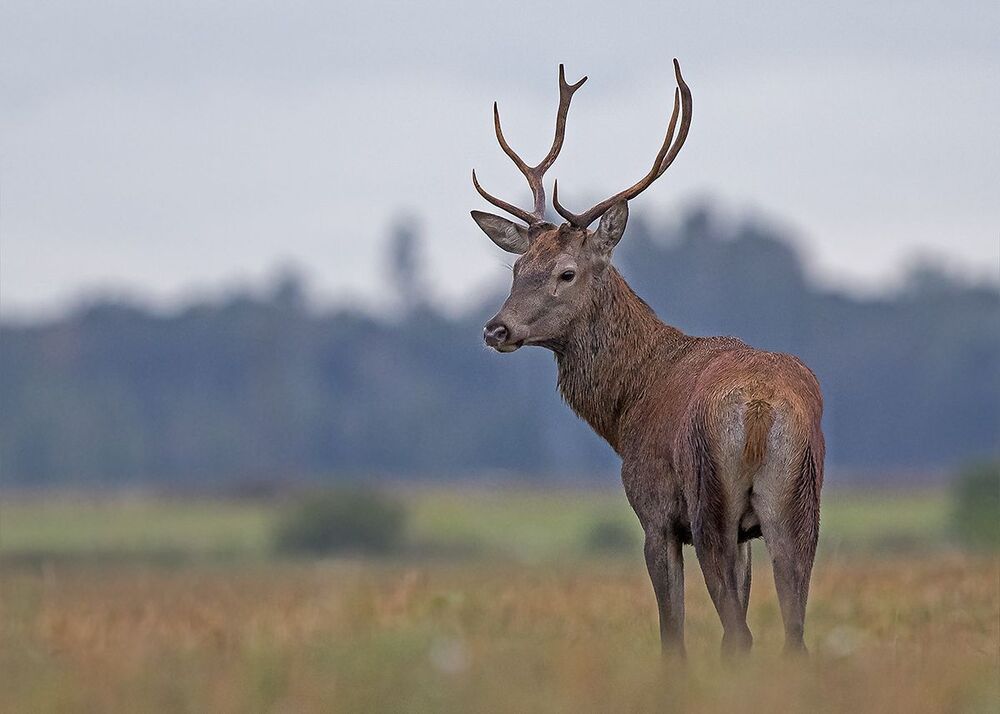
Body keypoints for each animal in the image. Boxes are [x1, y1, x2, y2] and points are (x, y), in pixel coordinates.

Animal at [470, 60, 824, 657]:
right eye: (517, 269)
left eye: (567, 272)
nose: (497, 328)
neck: (625, 408)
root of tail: (761, 409)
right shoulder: (746, 533)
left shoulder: (656, 514)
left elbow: (672, 637)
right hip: (798, 506)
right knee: (793, 634)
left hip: (710, 503)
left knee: (738, 632)